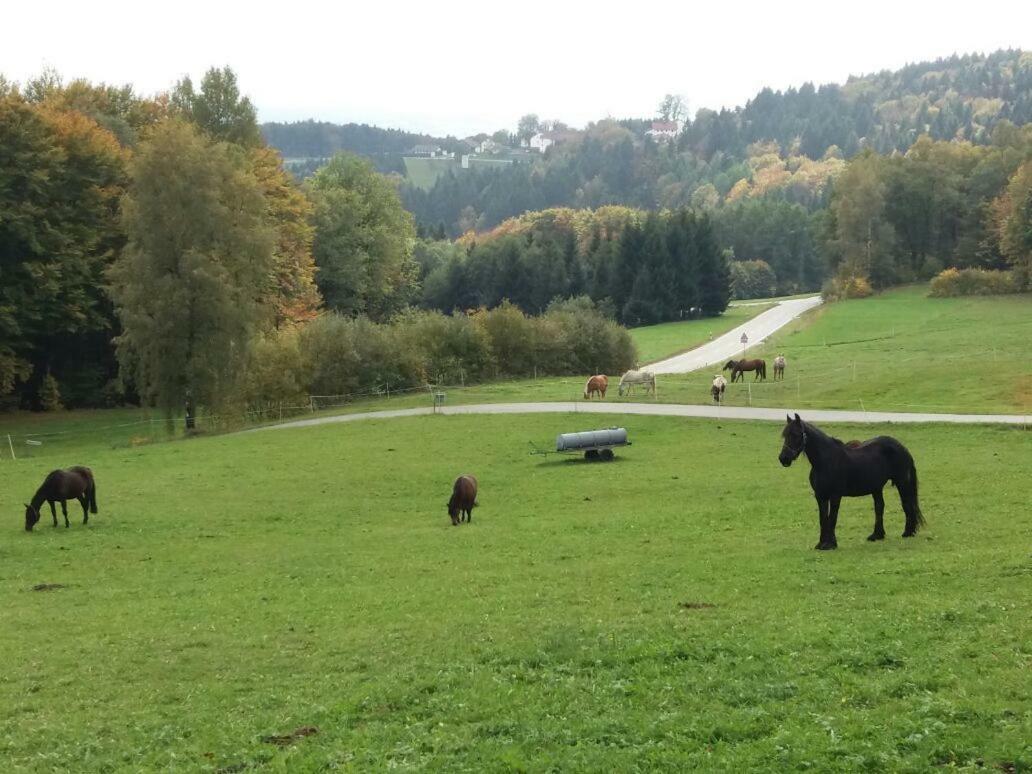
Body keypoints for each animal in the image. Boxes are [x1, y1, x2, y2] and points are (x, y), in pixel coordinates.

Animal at [776, 414, 924, 549]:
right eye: (785, 435)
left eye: (795, 434)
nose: (783, 458)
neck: (826, 461)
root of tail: (902, 447)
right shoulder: (820, 496)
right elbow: (823, 518)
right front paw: (821, 543)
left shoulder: (835, 495)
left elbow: (832, 517)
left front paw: (830, 544)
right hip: (876, 487)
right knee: (879, 507)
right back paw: (877, 535)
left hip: (902, 482)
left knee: (907, 504)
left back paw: (908, 532)